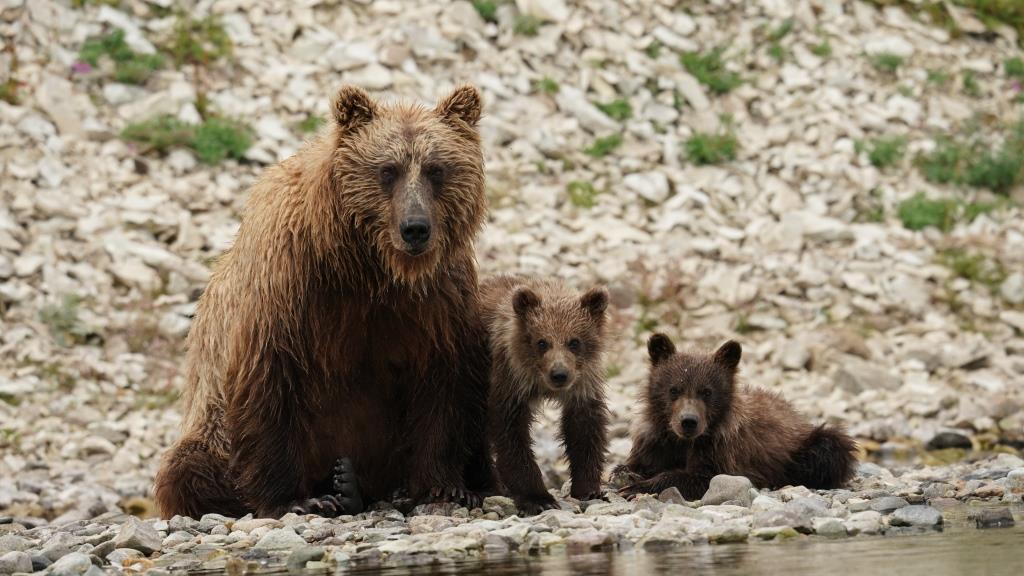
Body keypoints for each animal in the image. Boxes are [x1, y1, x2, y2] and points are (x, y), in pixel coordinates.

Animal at [151, 86, 495, 520]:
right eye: (387, 170)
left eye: (436, 169)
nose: (415, 228)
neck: (370, 268)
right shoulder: (291, 286)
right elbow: (270, 380)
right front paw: (295, 499)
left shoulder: (436, 304)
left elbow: (443, 386)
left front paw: (445, 488)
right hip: (211, 431)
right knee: (189, 468)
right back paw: (340, 489)